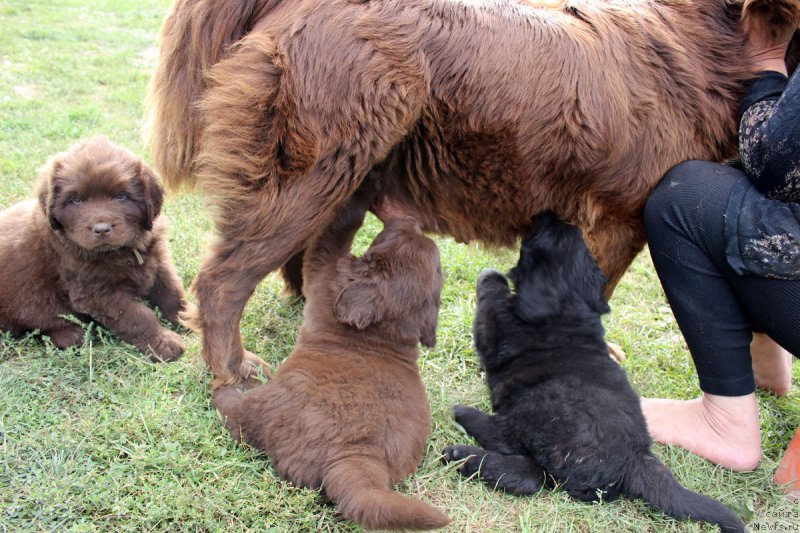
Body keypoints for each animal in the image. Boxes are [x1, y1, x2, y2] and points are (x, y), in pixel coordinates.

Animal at [0, 137, 186, 362]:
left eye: (121, 196)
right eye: (75, 200)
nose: (102, 229)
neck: (122, 251)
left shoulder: (158, 260)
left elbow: (172, 291)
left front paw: (189, 316)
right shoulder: (96, 292)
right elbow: (137, 316)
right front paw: (163, 343)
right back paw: (71, 334)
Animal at [147, 0, 800, 382]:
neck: (709, 42)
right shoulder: (619, 218)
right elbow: (598, 293)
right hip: (311, 172)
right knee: (223, 281)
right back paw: (233, 371)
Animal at [212, 183, 450, 528]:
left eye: (389, 238)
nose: (410, 219)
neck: (383, 332)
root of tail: (355, 453)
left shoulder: (325, 271)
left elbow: (336, 233)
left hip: (264, 406)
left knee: (235, 413)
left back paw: (226, 391)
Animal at [444, 212, 744, 532]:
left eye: (538, 237)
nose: (550, 215)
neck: (571, 302)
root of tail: (636, 458)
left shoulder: (494, 332)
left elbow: (491, 297)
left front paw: (491, 275)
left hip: (543, 406)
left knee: (515, 450)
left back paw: (463, 433)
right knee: (530, 474)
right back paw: (468, 459)